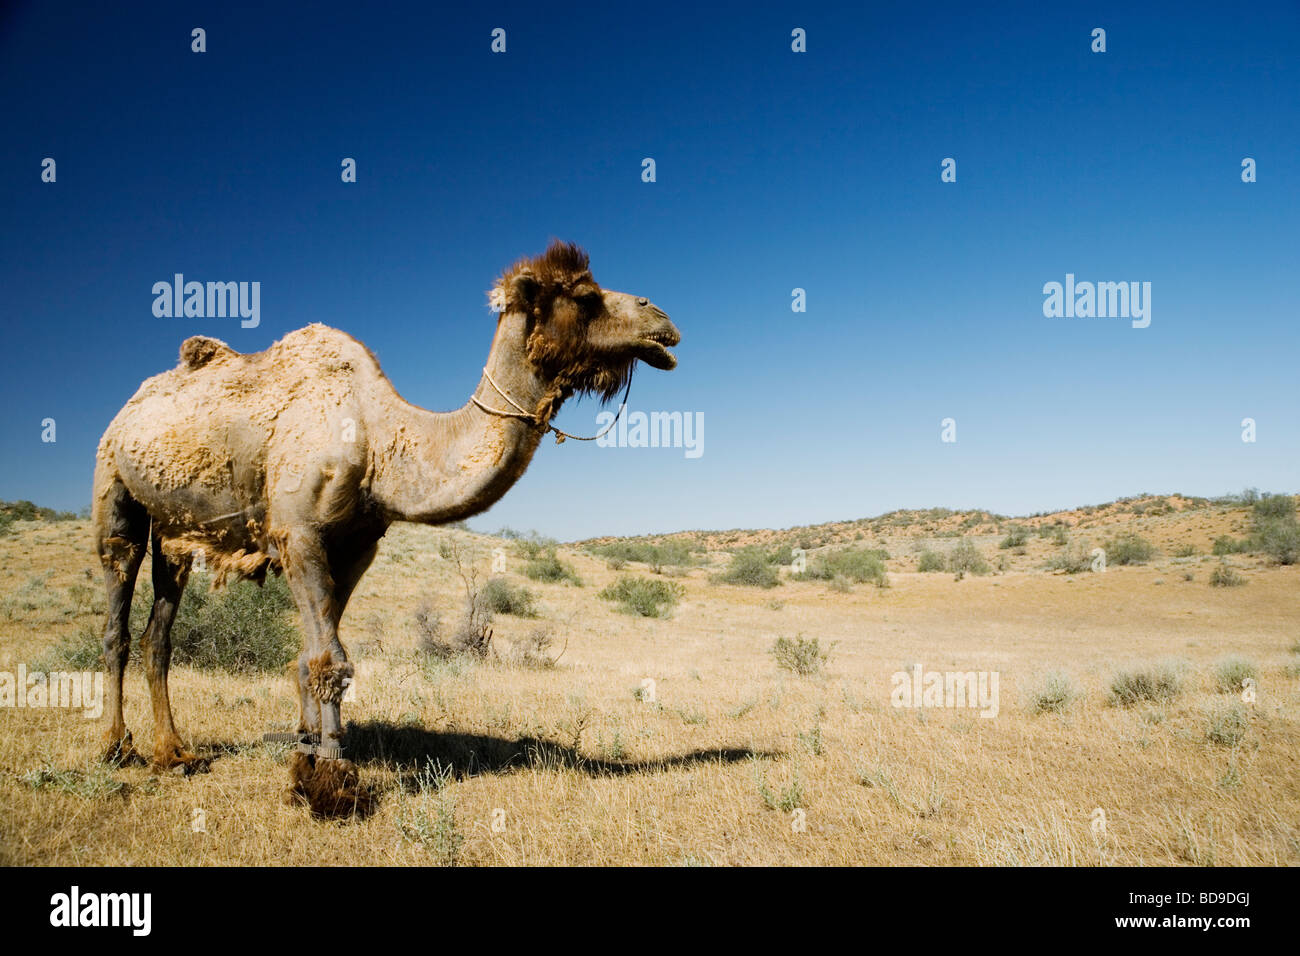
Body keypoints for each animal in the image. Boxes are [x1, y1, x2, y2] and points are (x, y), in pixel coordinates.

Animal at [91, 240, 681, 816]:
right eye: (585, 296)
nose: (662, 317)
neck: (378, 440)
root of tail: (130, 405)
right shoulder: (297, 533)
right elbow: (329, 660)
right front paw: (330, 786)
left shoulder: (357, 544)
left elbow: (312, 655)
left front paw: (307, 757)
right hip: (114, 487)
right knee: (118, 606)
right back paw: (116, 747)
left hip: (176, 530)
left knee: (159, 634)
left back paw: (175, 753)